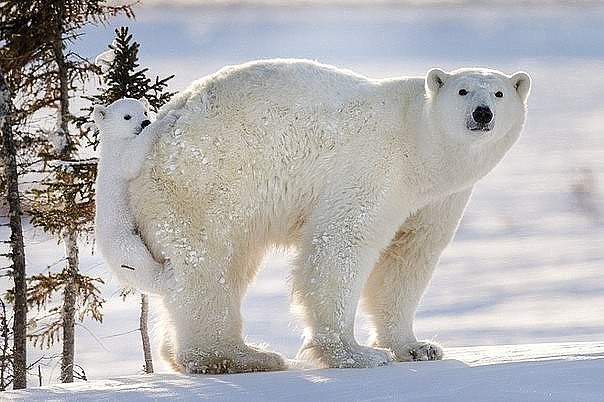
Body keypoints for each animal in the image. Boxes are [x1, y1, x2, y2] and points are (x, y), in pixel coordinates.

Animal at [92, 99, 177, 294]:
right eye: (127, 116)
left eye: (144, 111)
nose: (145, 122)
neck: (113, 142)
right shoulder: (119, 158)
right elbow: (132, 158)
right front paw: (166, 120)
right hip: (121, 237)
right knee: (135, 259)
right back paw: (166, 275)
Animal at [127, 59, 528, 374]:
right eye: (462, 91)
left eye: (499, 94)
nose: (482, 114)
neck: (420, 144)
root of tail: (163, 124)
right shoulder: (375, 166)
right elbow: (343, 242)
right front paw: (357, 354)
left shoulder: (438, 199)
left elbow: (407, 258)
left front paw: (417, 348)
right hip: (206, 183)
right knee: (210, 266)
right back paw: (241, 356)